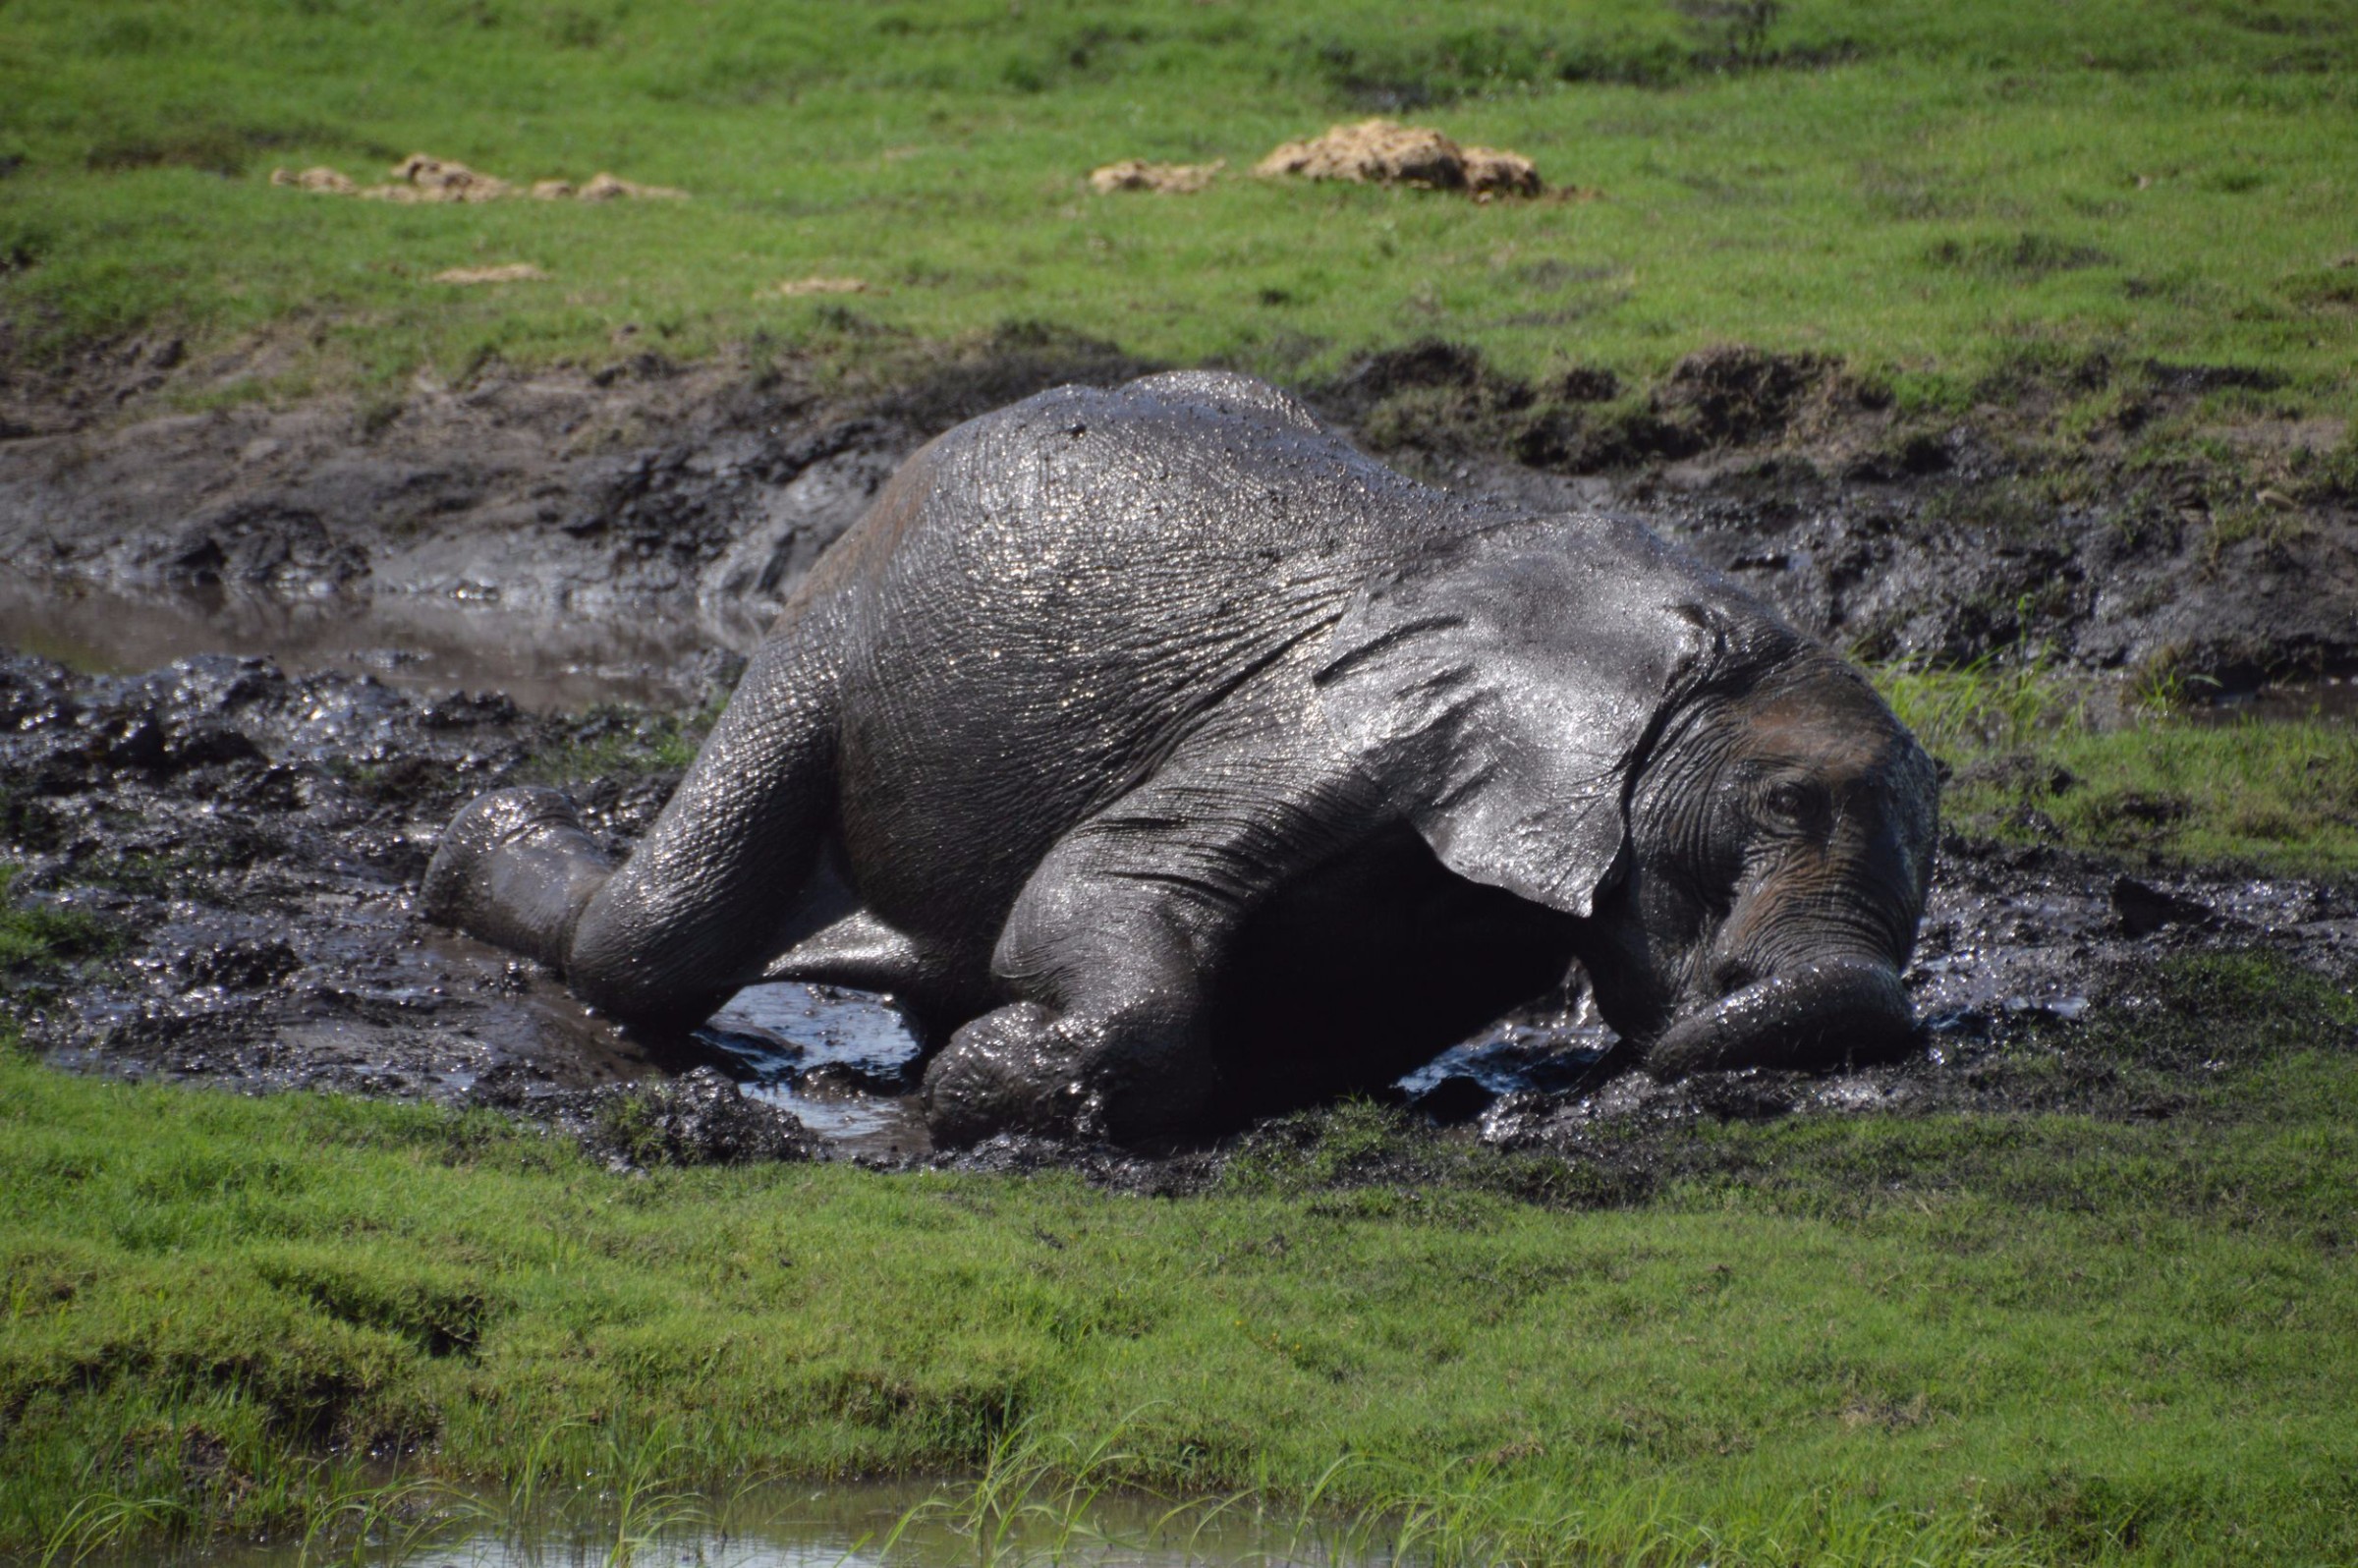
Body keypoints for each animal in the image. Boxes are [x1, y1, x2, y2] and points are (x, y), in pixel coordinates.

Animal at [424, 372, 1934, 1146]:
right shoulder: (1342, 717)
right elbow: (1109, 880)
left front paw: (980, 1061)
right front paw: (982, 1083)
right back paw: (480, 852)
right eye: (1783, 803)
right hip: (828, 634)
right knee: (653, 944)